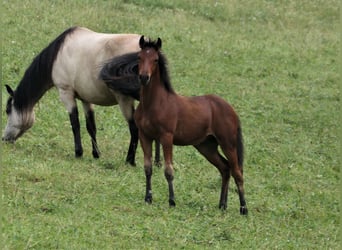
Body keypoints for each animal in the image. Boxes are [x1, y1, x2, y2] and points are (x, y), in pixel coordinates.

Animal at [2, 26, 161, 165]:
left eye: (8, 110)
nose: (4, 139)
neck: (57, 54)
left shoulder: (66, 94)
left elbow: (75, 123)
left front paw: (78, 152)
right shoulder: (86, 98)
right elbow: (91, 126)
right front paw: (96, 154)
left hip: (125, 99)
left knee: (134, 128)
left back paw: (130, 160)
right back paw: (158, 162)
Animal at [107, 36, 248, 214]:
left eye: (155, 59)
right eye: (139, 57)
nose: (144, 77)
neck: (153, 104)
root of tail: (230, 109)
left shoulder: (166, 137)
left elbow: (168, 170)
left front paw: (172, 201)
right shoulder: (145, 136)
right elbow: (148, 168)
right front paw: (148, 198)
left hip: (228, 143)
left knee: (237, 172)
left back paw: (243, 208)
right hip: (206, 146)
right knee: (225, 168)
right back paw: (222, 205)